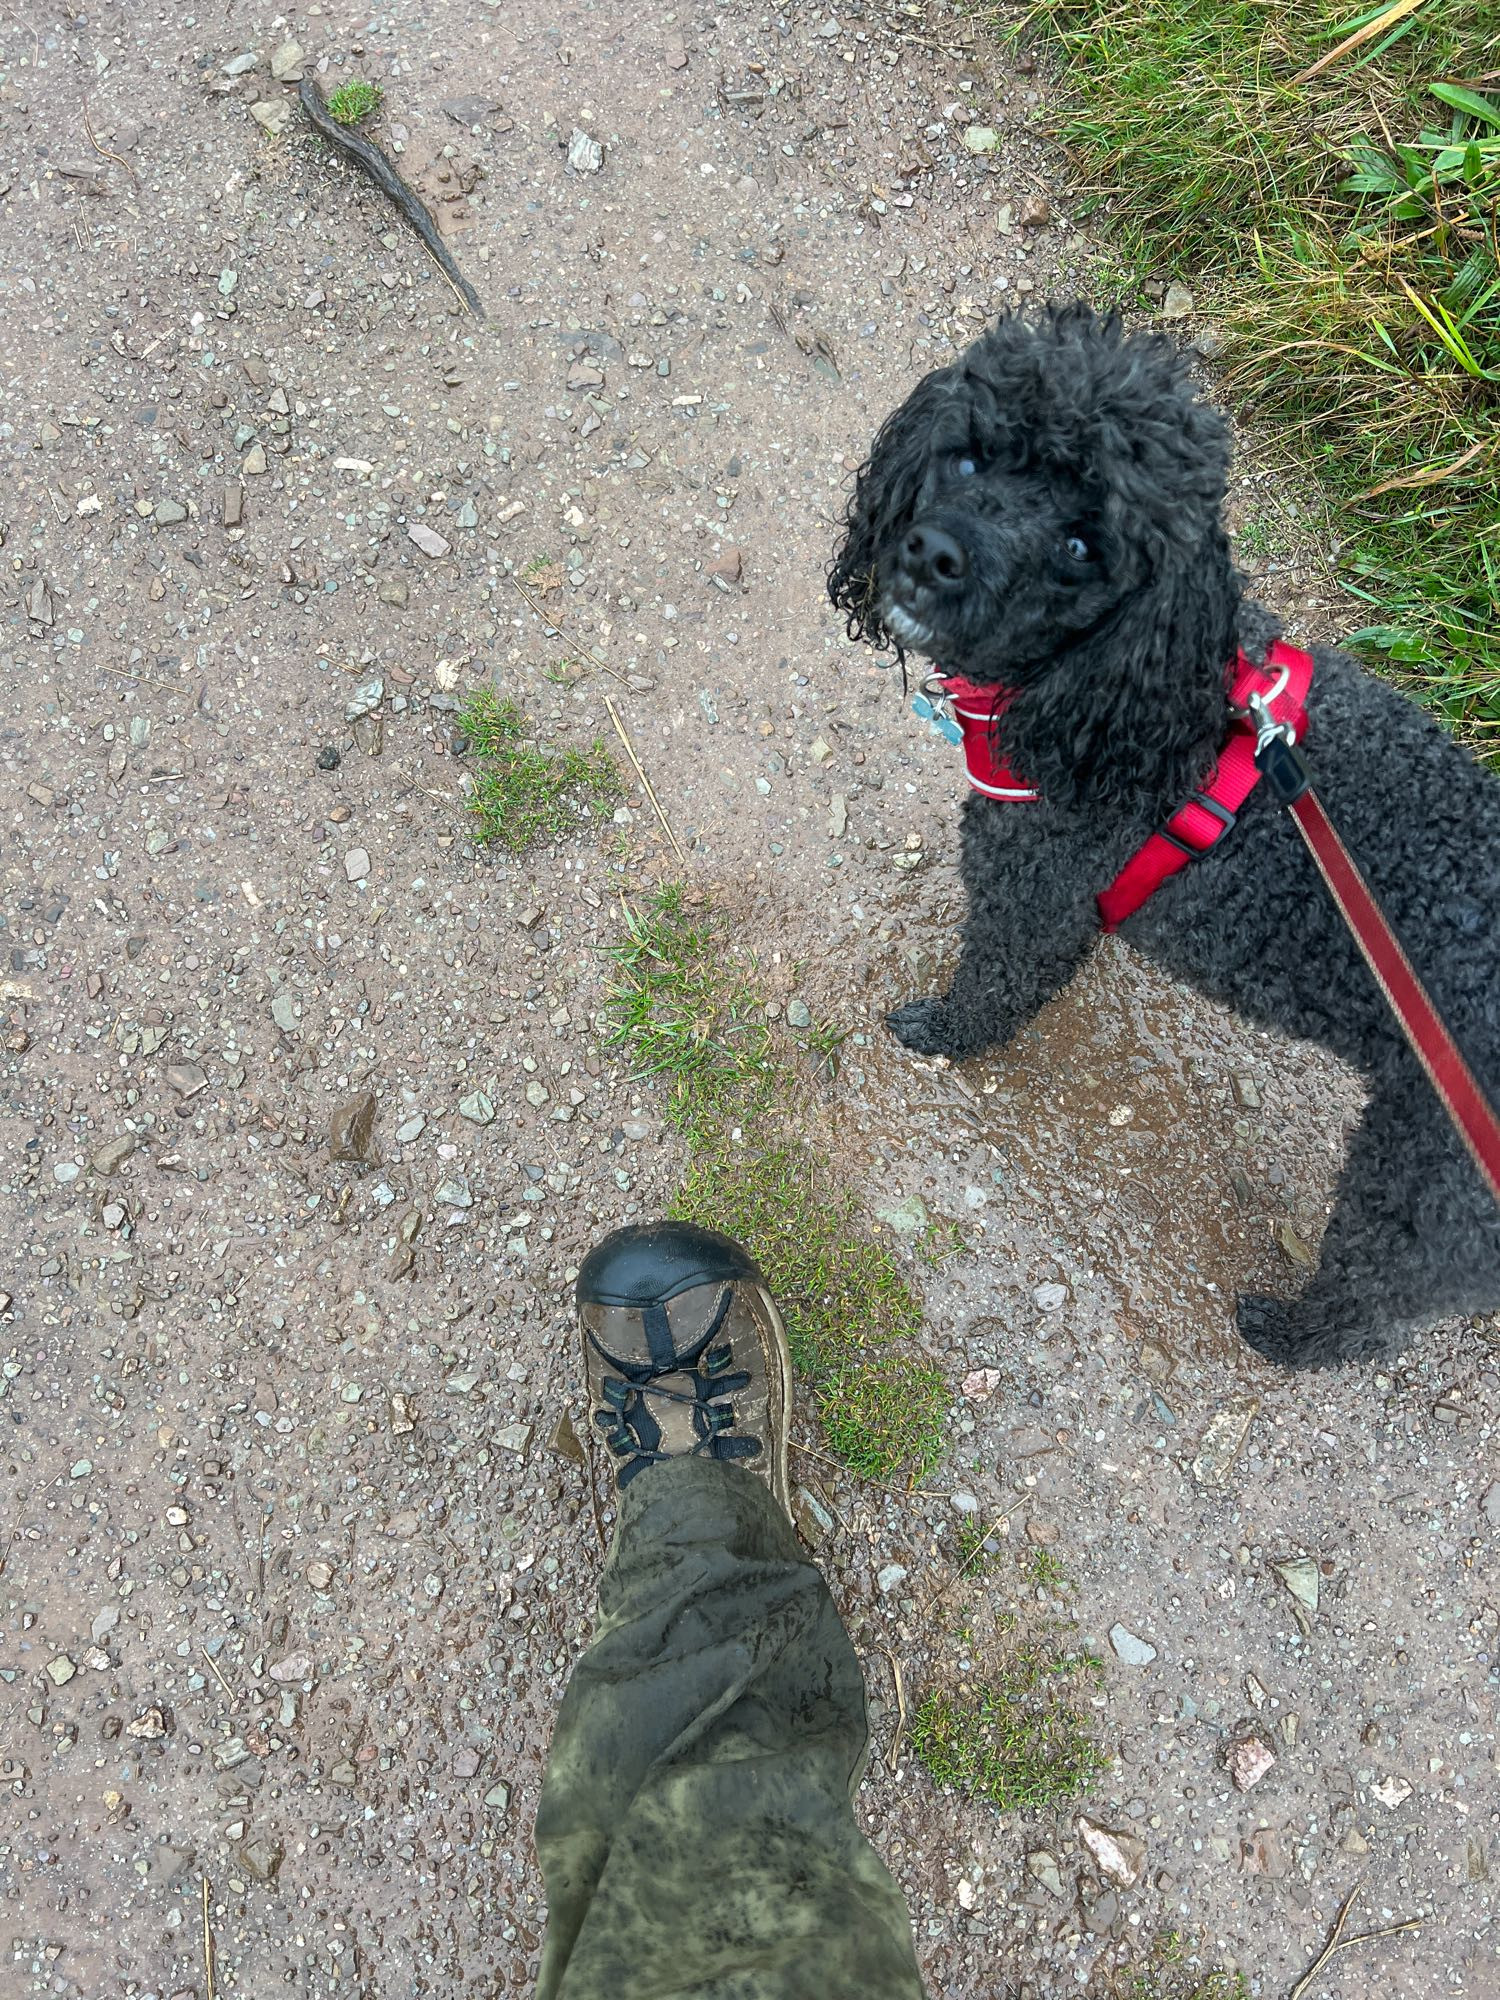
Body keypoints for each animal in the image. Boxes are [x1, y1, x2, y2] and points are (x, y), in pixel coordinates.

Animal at [836, 304, 1500, 1368]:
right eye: (970, 457)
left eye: (1081, 547)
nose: (934, 552)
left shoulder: (1032, 893)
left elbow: (994, 988)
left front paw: (940, 1036)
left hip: (1421, 1188)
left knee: (1370, 1306)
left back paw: (1286, 1332)